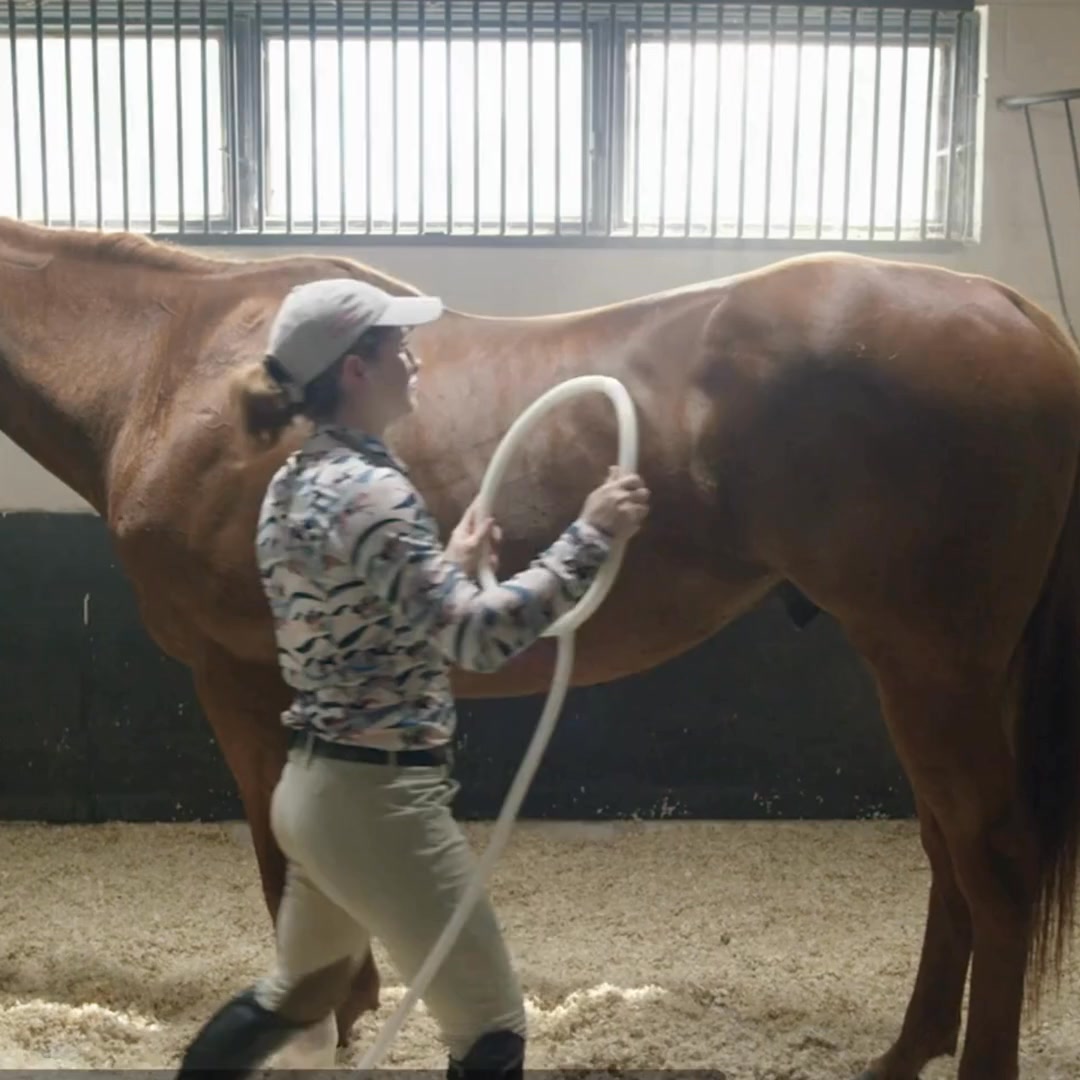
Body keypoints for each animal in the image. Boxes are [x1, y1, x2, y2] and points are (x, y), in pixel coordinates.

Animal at [1, 215, 1078, 1080]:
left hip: (932, 669)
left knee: (993, 861)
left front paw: (329, 1020)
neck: (171, 365)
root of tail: (1016, 313)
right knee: (948, 856)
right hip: (928, 670)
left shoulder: (236, 678)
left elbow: (281, 861)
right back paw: (907, 1051)